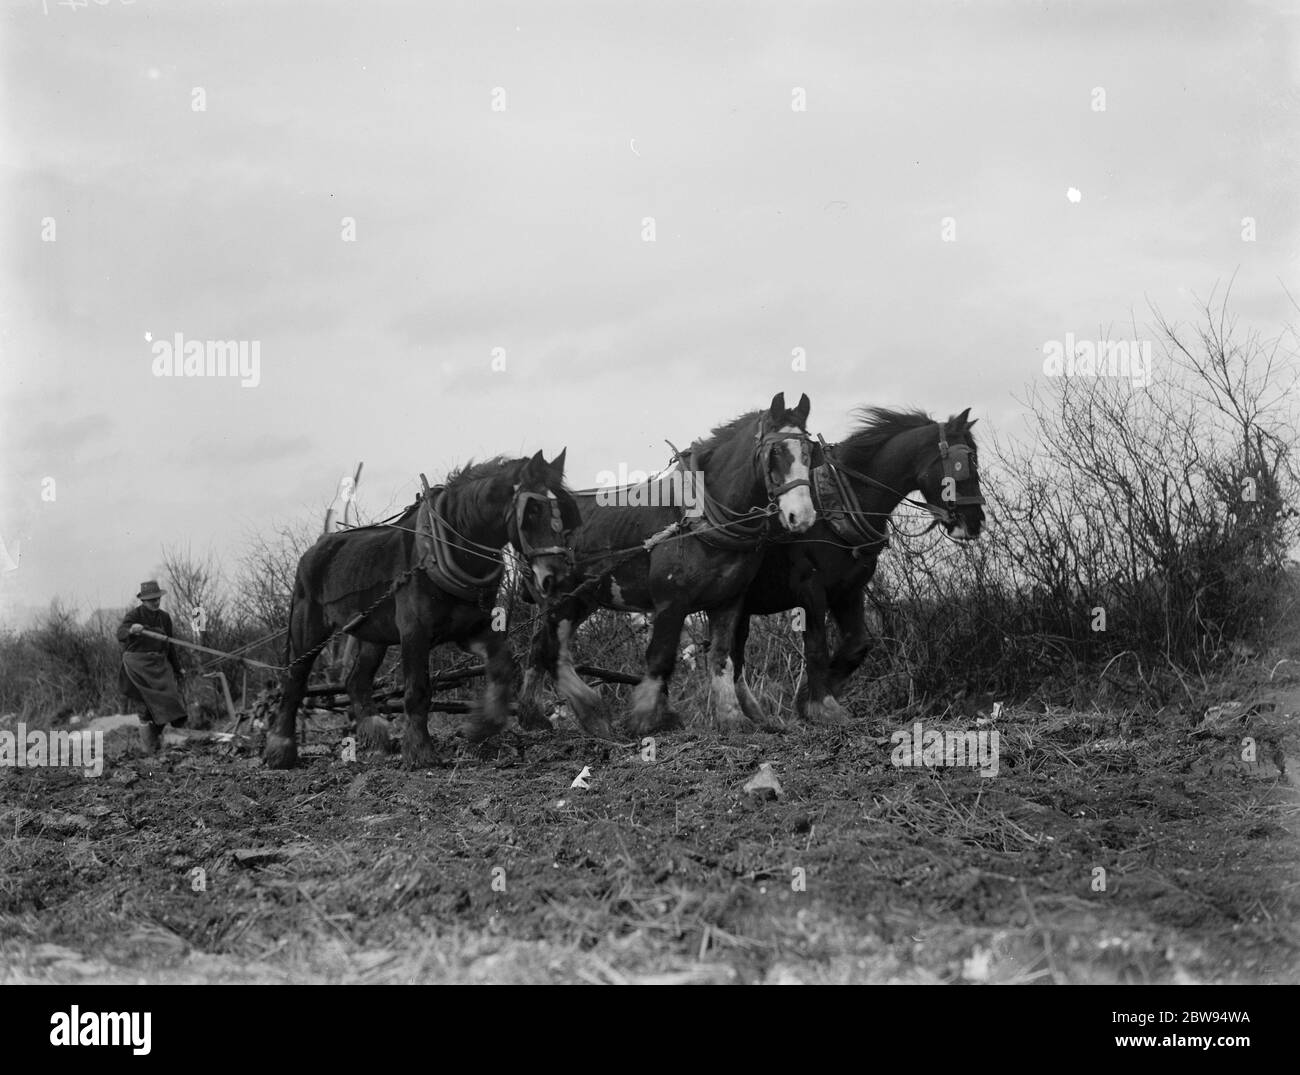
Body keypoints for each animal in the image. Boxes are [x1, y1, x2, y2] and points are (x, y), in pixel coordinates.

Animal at [263, 450, 581, 769]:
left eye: (567, 512)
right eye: (532, 512)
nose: (556, 577)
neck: (448, 548)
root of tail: (316, 548)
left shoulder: (472, 628)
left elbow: (503, 667)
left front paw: (481, 727)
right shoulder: (415, 631)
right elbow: (417, 690)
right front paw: (420, 751)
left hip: (373, 635)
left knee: (356, 682)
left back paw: (378, 738)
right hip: (308, 628)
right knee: (295, 682)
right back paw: (280, 750)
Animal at [517, 392, 820, 738]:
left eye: (809, 452)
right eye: (776, 451)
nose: (802, 516)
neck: (699, 516)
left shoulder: (729, 601)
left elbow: (721, 657)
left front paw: (731, 716)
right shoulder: (670, 602)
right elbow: (660, 659)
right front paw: (645, 719)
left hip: (582, 600)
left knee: (540, 649)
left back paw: (535, 715)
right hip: (559, 599)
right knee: (549, 651)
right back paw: (580, 712)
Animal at [730, 407, 986, 725]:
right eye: (967, 461)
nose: (975, 522)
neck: (839, 504)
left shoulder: (849, 590)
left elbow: (857, 646)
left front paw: (809, 698)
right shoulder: (809, 587)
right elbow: (816, 645)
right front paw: (822, 704)